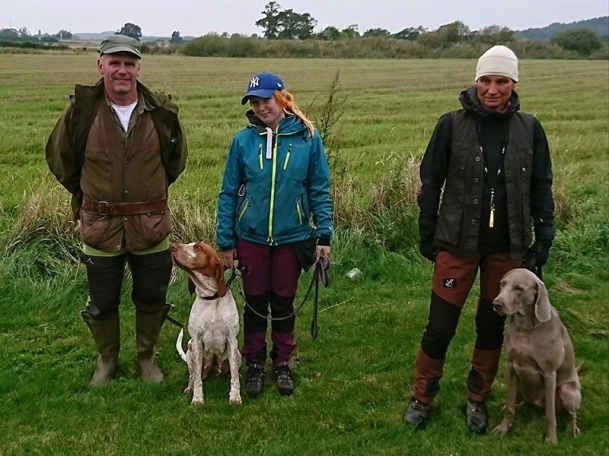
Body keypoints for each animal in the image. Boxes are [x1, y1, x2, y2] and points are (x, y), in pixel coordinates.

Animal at [170, 242, 241, 406]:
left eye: (197, 247)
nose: (172, 246)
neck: (211, 297)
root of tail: (213, 370)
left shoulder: (232, 340)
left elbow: (235, 375)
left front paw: (235, 397)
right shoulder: (196, 341)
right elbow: (197, 378)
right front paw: (197, 398)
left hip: (238, 353)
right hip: (190, 351)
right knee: (193, 375)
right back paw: (189, 388)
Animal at [490, 268, 580, 444]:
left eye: (519, 288)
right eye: (502, 284)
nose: (496, 304)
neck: (525, 328)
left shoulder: (549, 374)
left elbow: (550, 414)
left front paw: (551, 439)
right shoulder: (510, 366)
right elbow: (510, 405)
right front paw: (504, 428)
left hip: (568, 391)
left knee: (571, 414)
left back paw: (572, 430)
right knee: (516, 402)